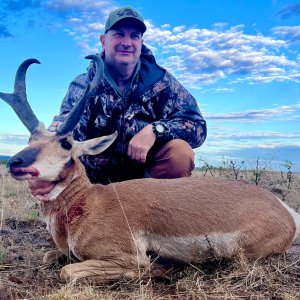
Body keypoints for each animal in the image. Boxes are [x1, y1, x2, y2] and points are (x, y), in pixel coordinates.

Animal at [0, 56, 300, 284]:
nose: (15, 162)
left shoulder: (124, 257)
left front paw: (158, 269)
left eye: (65, 143)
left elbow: (67, 270)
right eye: (30, 139)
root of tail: (284, 210)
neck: (90, 201)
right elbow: (50, 256)